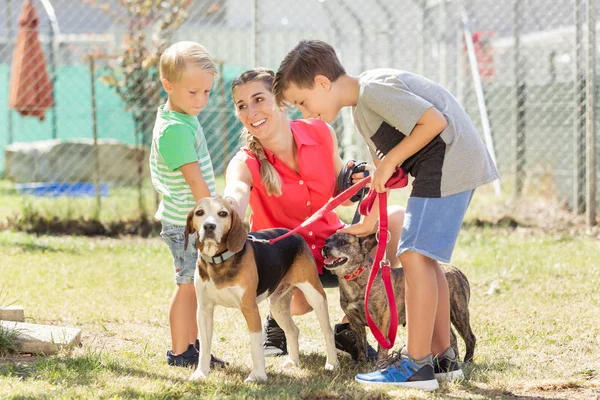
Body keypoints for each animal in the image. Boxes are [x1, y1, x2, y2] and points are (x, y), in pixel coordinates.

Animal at [322, 233, 476, 364]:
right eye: (327, 241)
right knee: (452, 338)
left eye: (343, 242)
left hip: (459, 314)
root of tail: (456, 270)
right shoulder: (355, 323)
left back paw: (467, 361)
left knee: (470, 338)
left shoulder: (382, 322)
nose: (325, 248)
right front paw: (361, 362)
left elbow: (382, 347)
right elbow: (361, 344)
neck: (355, 278)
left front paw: (380, 365)